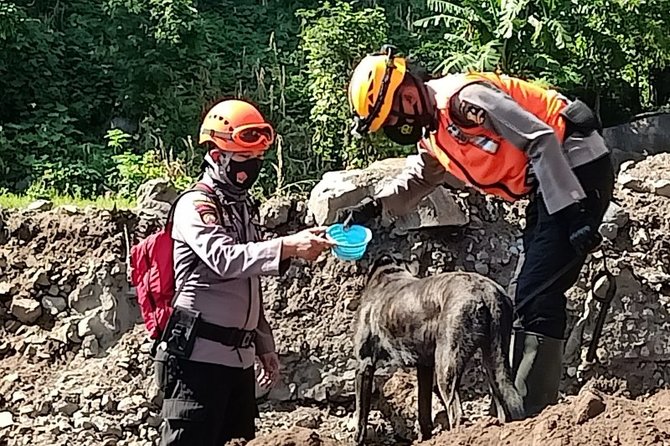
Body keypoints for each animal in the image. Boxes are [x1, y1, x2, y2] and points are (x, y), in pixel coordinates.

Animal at [354, 253, 528, 444]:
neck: (388, 273)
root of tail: (486, 292)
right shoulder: (424, 367)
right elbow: (423, 411)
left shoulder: (364, 364)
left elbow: (361, 415)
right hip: (495, 364)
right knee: (509, 404)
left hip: (447, 366)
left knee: (456, 414)